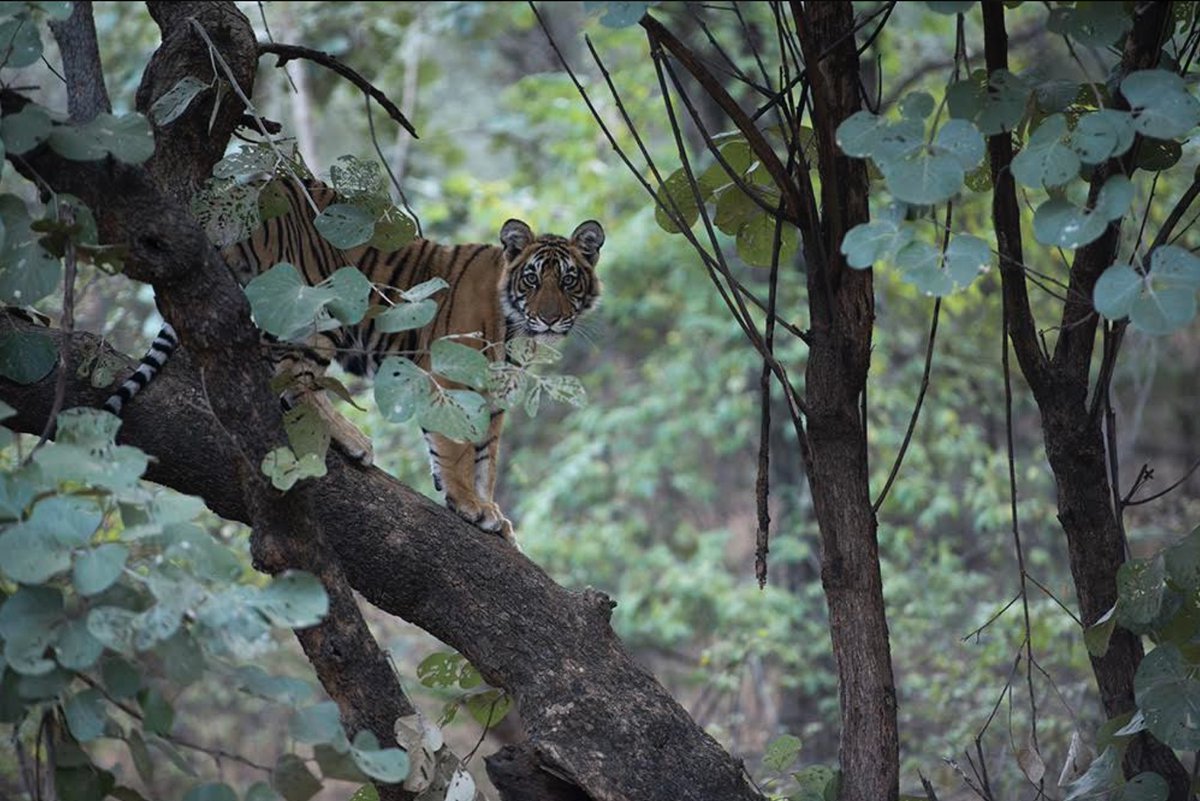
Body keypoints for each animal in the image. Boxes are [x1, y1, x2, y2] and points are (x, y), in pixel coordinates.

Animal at [108, 178, 604, 541]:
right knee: (289, 374)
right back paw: (352, 440)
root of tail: (233, 194)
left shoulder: (494, 397)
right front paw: (467, 502)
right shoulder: (450, 381)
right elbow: (458, 447)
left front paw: (491, 511)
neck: (516, 329)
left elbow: (487, 457)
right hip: (316, 308)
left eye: (569, 280)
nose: (549, 318)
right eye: (532, 279)